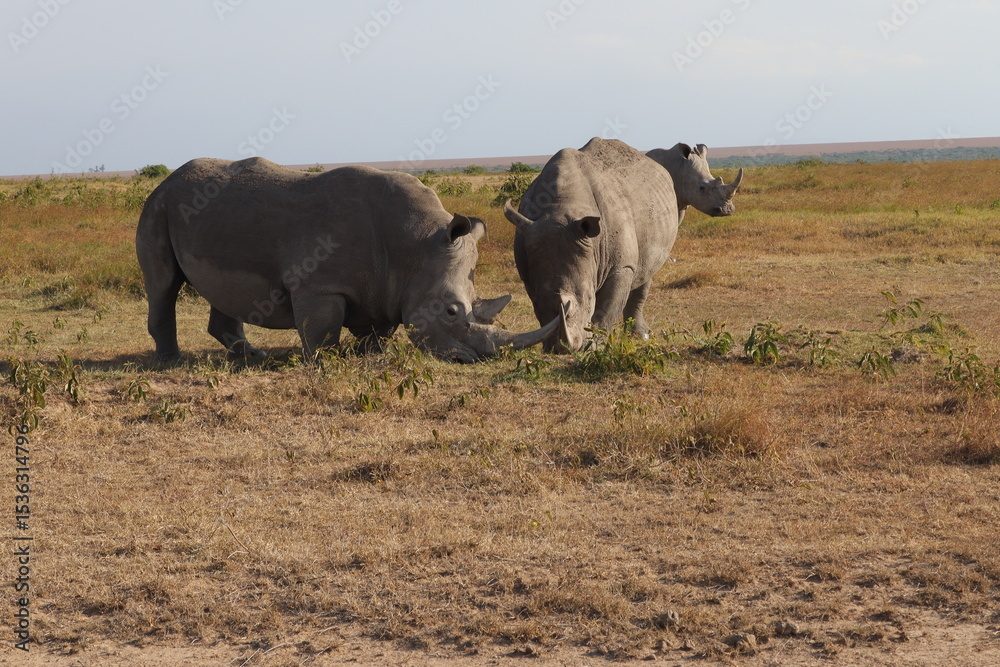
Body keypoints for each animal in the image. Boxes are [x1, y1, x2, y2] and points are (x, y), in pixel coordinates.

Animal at [136, 157, 557, 363]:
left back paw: (251, 356)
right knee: (163, 285)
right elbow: (322, 330)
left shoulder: (386, 285)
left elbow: (379, 328)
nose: (471, 360)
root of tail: (166, 180)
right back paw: (169, 361)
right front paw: (323, 362)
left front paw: (372, 353)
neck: (415, 247)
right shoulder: (319, 285)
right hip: (157, 206)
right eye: (452, 312)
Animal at [503, 138, 678, 351]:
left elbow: (606, 310)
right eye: (538, 302)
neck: (561, 207)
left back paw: (641, 335)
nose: (563, 349)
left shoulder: (621, 266)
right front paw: (548, 345)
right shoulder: (527, 269)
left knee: (647, 270)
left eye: (588, 299)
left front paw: (594, 347)